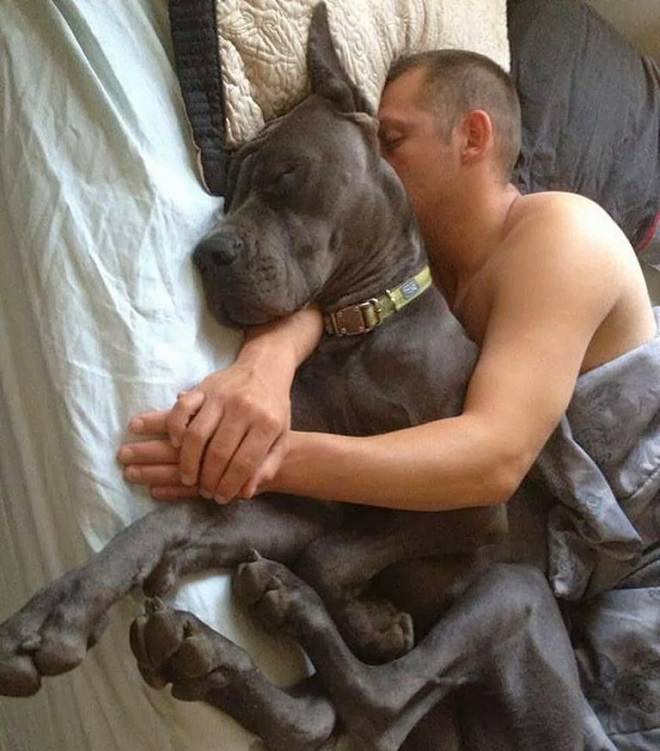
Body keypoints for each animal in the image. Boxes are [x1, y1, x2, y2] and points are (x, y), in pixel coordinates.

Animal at [1, 5, 584, 751]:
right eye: (226, 195)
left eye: (284, 174)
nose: (207, 252)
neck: (356, 332)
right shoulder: (301, 500)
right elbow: (171, 522)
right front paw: (55, 616)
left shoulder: (471, 496)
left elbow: (329, 556)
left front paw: (370, 621)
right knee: (322, 719)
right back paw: (200, 653)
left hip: (512, 592)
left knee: (378, 704)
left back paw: (276, 620)